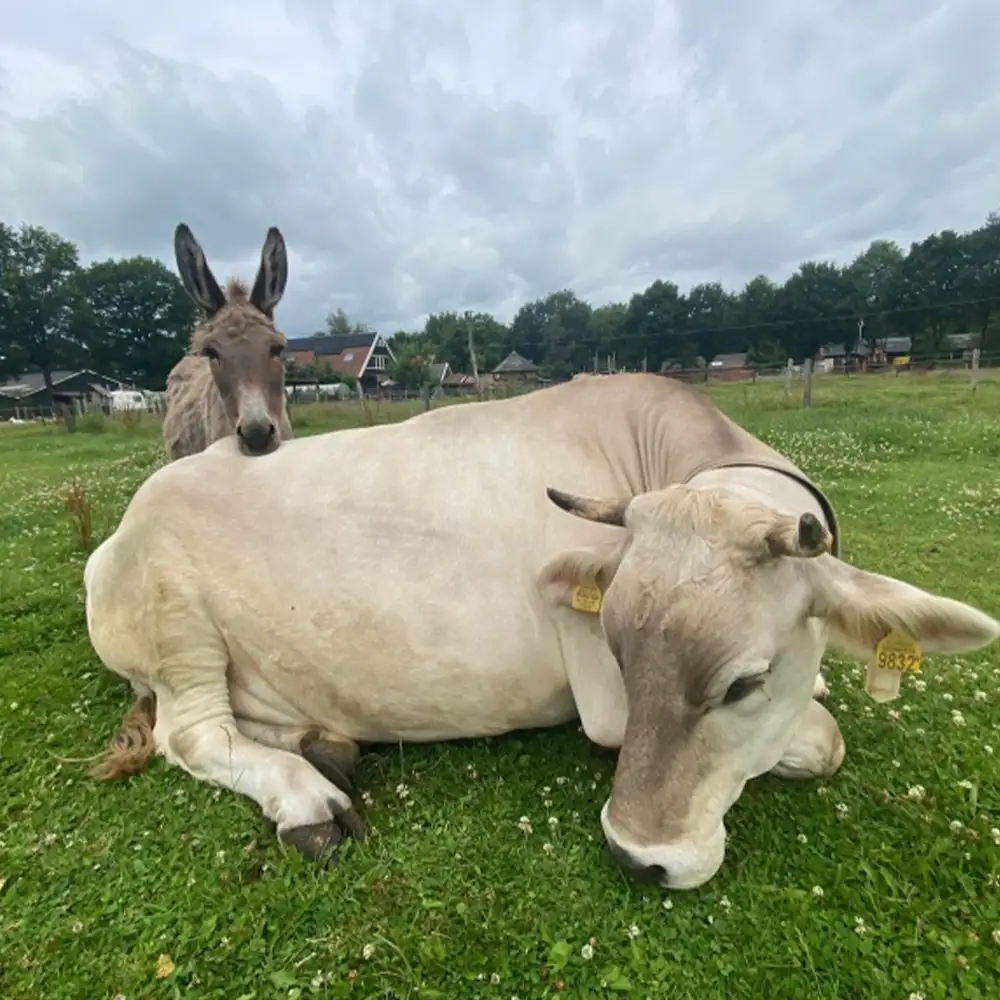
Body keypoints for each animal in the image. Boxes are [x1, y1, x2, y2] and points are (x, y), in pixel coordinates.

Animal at [86, 372, 1000, 888]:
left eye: (744, 681)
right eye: (621, 657)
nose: (639, 859)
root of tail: (114, 535)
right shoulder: (607, 707)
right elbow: (823, 740)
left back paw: (325, 745)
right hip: (178, 627)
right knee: (192, 735)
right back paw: (305, 796)